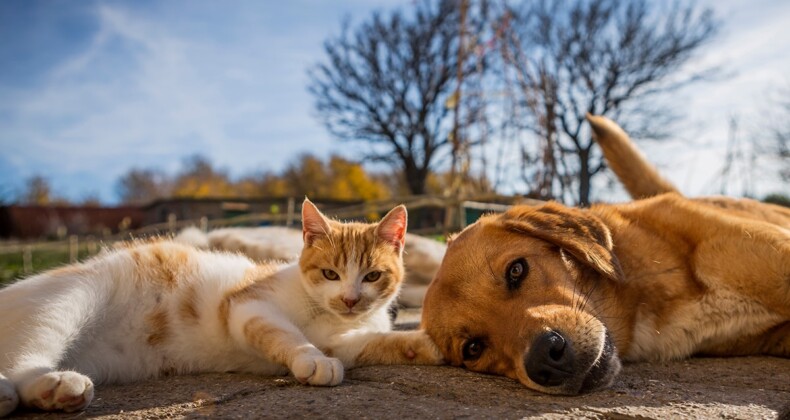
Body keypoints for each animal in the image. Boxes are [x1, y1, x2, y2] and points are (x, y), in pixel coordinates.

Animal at [0, 199, 446, 416]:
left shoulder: (347, 340)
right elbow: (286, 335)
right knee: (26, 356)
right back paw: (51, 385)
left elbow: (374, 343)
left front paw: (428, 344)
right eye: (330, 274)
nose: (350, 299)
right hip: (70, 298)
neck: (326, 314)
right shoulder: (248, 305)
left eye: (372, 276)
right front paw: (311, 360)